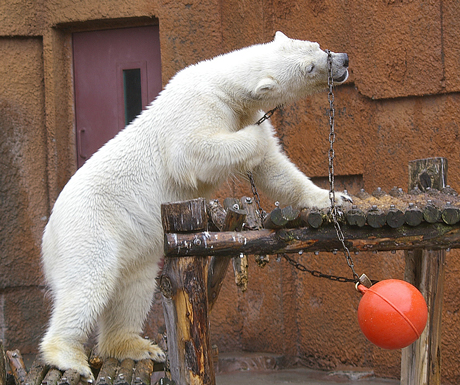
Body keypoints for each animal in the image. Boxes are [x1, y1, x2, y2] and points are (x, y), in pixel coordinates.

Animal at [39, 30, 350, 378]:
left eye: (317, 46)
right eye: (309, 67)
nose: (343, 60)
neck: (223, 82)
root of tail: (48, 232)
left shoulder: (243, 109)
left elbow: (274, 169)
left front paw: (335, 197)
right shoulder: (199, 108)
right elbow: (191, 152)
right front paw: (256, 139)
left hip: (128, 243)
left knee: (133, 285)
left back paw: (136, 346)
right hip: (90, 227)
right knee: (90, 281)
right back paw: (69, 357)